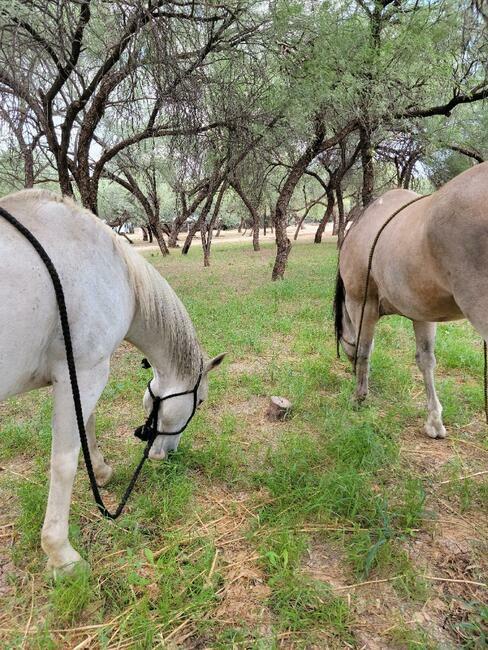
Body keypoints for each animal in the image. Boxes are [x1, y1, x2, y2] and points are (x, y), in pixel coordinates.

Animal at [0, 190, 225, 568]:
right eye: (202, 401)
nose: (167, 454)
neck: (120, 275)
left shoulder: (80, 375)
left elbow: (86, 426)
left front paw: (102, 472)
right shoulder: (84, 370)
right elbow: (64, 461)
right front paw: (61, 554)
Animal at [334, 159, 488, 438]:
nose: (350, 372)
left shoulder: (362, 303)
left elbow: (364, 349)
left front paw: (359, 396)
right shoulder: (422, 313)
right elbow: (426, 361)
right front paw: (434, 420)